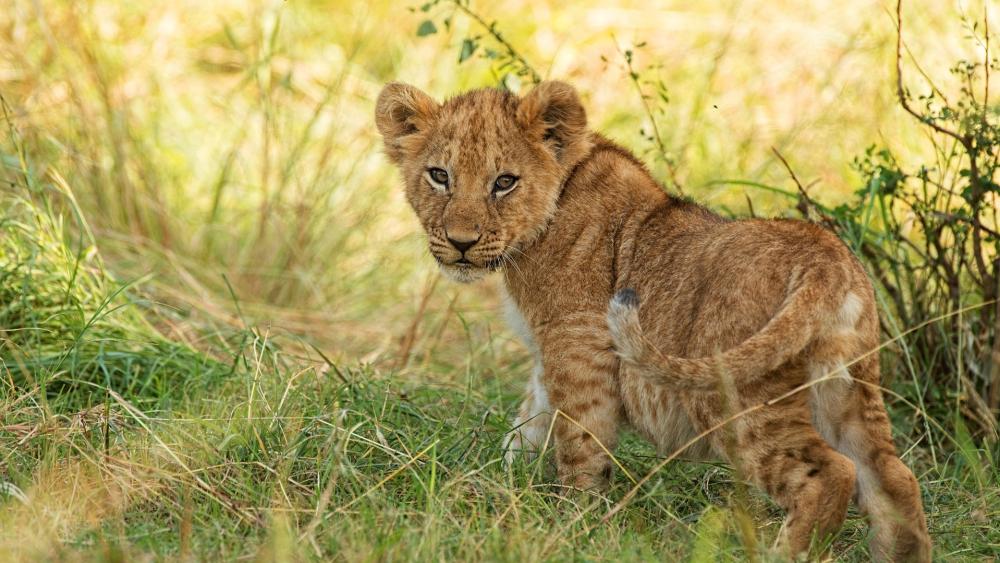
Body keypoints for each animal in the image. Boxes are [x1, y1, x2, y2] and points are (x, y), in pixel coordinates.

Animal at [375, 80, 931, 561]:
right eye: (440, 176)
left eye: (504, 182)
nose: (461, 243)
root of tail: (825, 256)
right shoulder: (547, 356)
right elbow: (527, 424)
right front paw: (492, 488)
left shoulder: (580, 344)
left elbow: (580, 443)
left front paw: (574, 526)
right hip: (850, 386)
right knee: (892, 478)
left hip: (737, 396)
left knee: (831, 474)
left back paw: (784, 554)